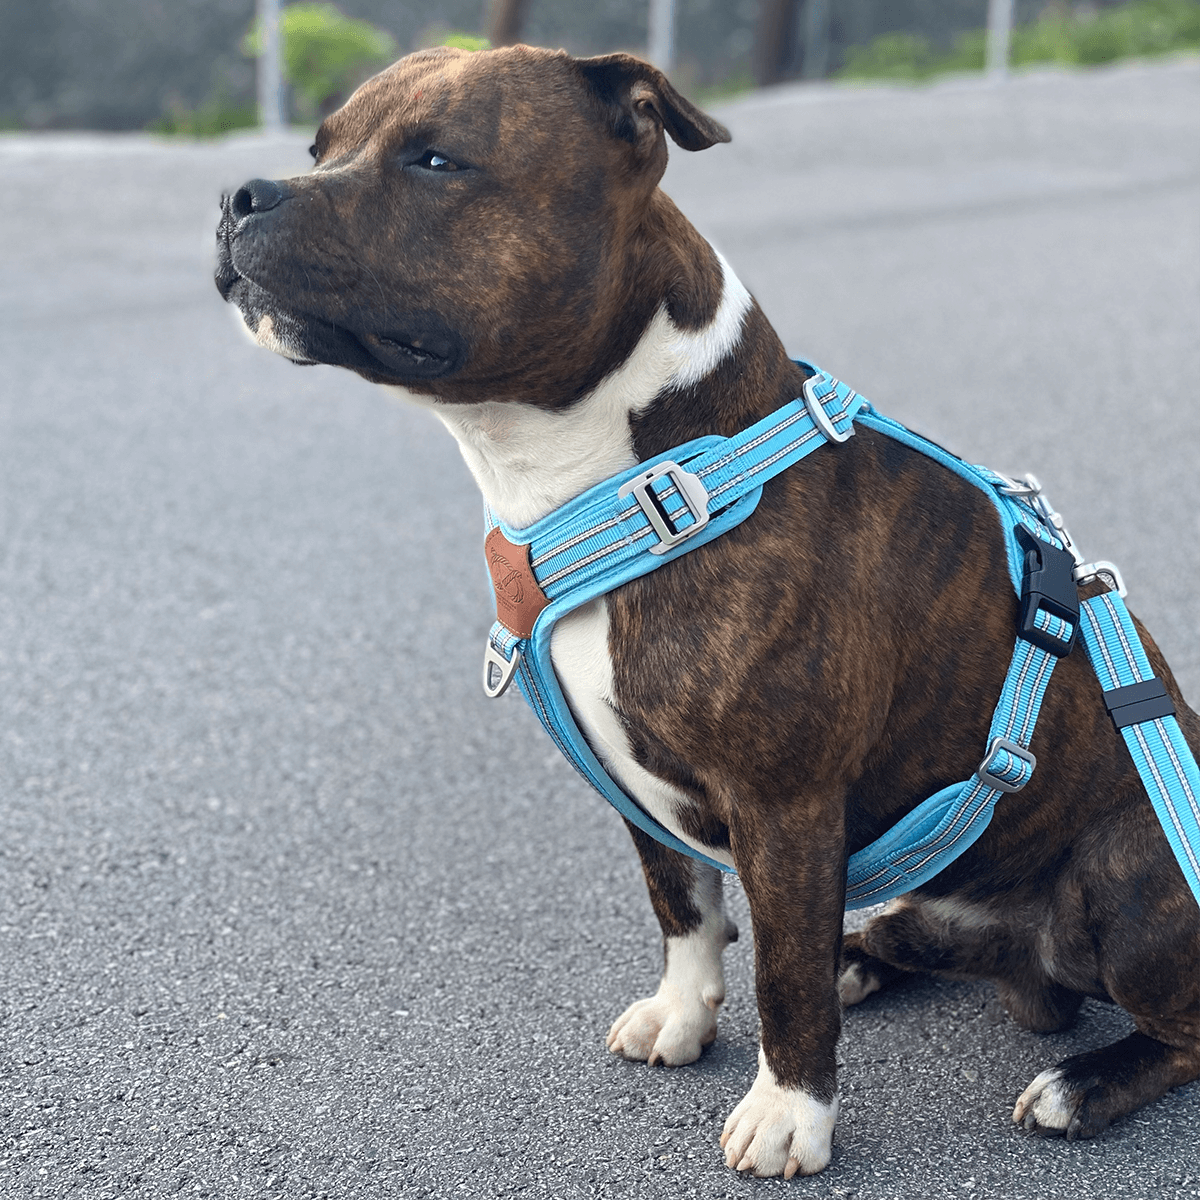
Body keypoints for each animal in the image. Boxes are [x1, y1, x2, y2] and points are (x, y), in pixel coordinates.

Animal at [216, 44, 1200, 1171]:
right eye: (319, 148)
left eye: (435, 160)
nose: (239, 194)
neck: (639, 474)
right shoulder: (643, 789)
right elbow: (684, 908)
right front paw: (685, 1017)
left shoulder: (787, 805)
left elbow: (784, 980)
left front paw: (790, 1113)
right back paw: (867, 958)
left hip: (1128, 880)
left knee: (1181, 1032)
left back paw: (1083, 1083)